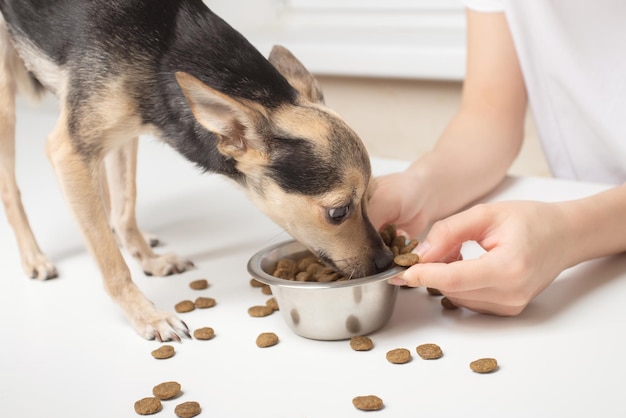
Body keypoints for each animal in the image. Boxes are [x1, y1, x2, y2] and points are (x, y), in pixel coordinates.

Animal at [0, 0, 390, 340]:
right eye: (338, 212)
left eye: (370, 198)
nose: (387, 260)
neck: (162, 50)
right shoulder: (68, 151)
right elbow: (112, 265)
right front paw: (146, 315)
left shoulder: (126, 128)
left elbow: (125, 203)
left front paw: (146, 258)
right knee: (12, 189)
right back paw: (34, 257)